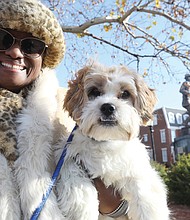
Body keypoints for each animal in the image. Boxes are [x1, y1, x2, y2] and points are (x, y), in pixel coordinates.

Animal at [54, 62, 169, 220]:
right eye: (94, 91)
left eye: (125, 94)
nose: (108, 107)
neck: (106, 141)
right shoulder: (70, 158)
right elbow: (76, 184)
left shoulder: (137, 169)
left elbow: (144, 194)